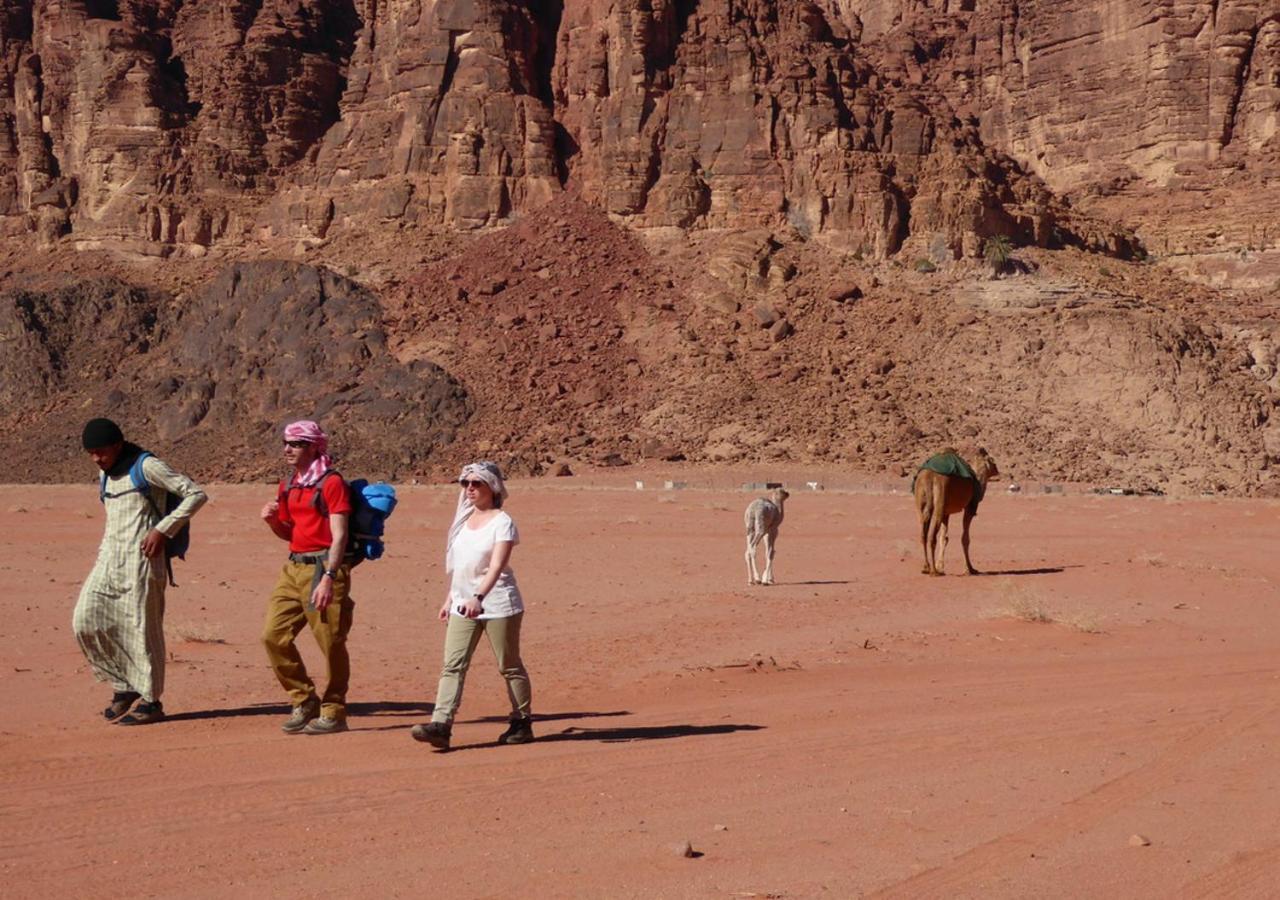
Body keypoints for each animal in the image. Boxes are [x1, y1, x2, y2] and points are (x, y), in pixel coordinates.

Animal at [911, 448, 998, 578]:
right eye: (991, 460)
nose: (997, 469)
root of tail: (928, 477)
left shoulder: (946, 513)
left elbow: (944, 537)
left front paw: (940, 567)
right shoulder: (969, 508)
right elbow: (965, 538)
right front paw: (970, 569)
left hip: (921, 503)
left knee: (923, 534)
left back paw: (926, 567)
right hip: (940, 497)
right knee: (931, 537)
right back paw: (934, 571)